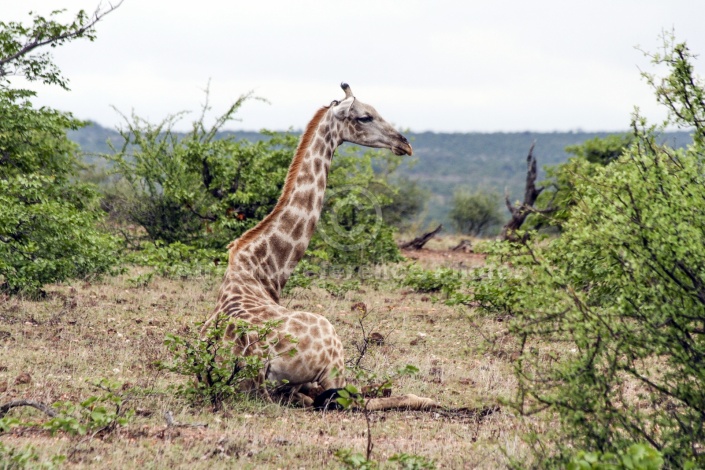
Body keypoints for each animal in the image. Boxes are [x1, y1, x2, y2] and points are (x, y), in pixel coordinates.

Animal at [201, 84, 438, 412]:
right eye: (365, 117)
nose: (405, 144)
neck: (261, 270)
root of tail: (259, 365)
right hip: (332, 347)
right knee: (357, 400)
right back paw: (428, 398)